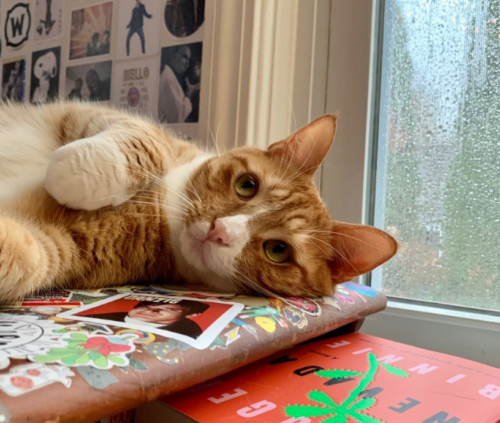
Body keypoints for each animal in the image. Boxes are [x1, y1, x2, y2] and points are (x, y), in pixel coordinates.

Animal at [0, 101, 398, 304]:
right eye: (247, 185)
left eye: (278, 251)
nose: (219, 230)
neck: (164, 208)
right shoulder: (91, 113)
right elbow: (148, 144)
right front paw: (66, 172)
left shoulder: (63, 246)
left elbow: (27, 258)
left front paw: (59, 177)